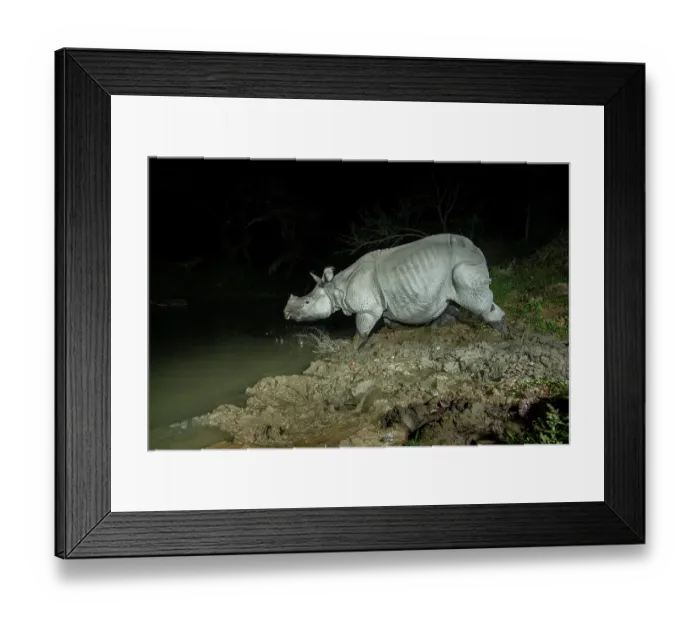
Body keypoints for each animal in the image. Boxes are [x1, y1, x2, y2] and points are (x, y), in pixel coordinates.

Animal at [283, 233, 507, 349]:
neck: (336, 288)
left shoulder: (367, 309)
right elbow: (390, 321)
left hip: (463, 264)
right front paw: (400, 330)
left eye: (307, 303)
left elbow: (361, 332)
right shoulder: (383, 304)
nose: (285, 313)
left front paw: (352, 350)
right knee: (452, 301)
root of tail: (476, 248)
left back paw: (502, 335)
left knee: (476, 301)